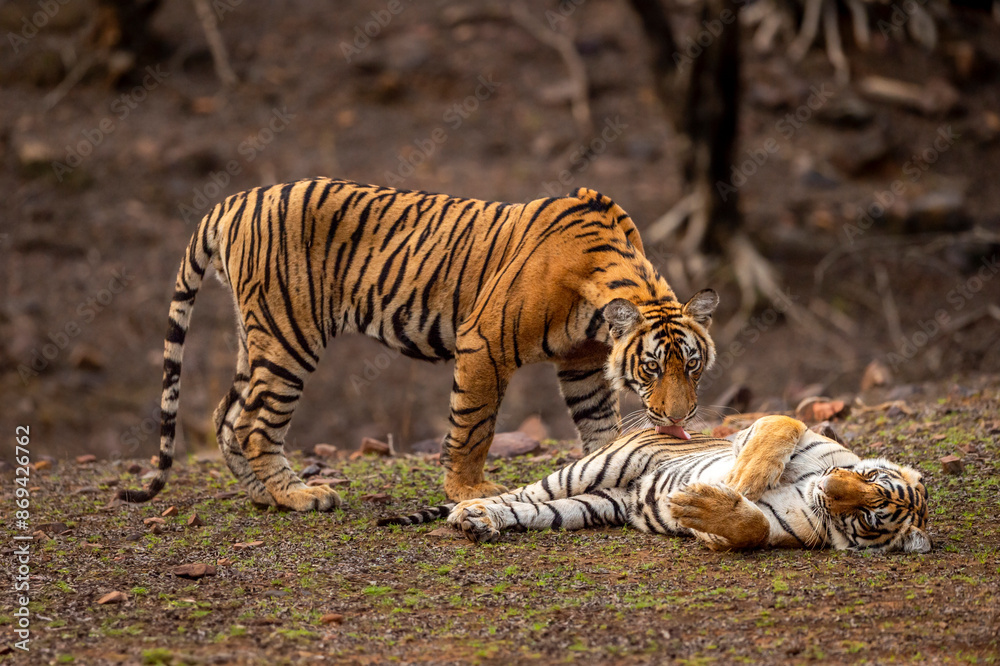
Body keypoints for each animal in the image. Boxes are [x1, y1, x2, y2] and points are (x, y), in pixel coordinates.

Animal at [117, 179, 719, 512]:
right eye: (650, 368)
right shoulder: (484, 344)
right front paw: (467, 490)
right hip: (290, 334)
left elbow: (598, 428)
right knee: (254, 421)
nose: (678, 418)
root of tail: (234, 200)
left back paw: (261, 493)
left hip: (257, 335)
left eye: (691, 367)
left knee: (226, 413)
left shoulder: (582, 363)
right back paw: (298, 496)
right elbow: (474, 426)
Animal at [379, 415, 932, 553]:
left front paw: (704, 505)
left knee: (527, 510)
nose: (831, 491)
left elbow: (753, 527)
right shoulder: (786, 433)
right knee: (518, 494)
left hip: (586, 506)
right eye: (868, 477)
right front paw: (745, 477)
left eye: (869, 515)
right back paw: (468, 512)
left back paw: (480, 523)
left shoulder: (776, 530)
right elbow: (782, 428)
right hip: (589, 469)